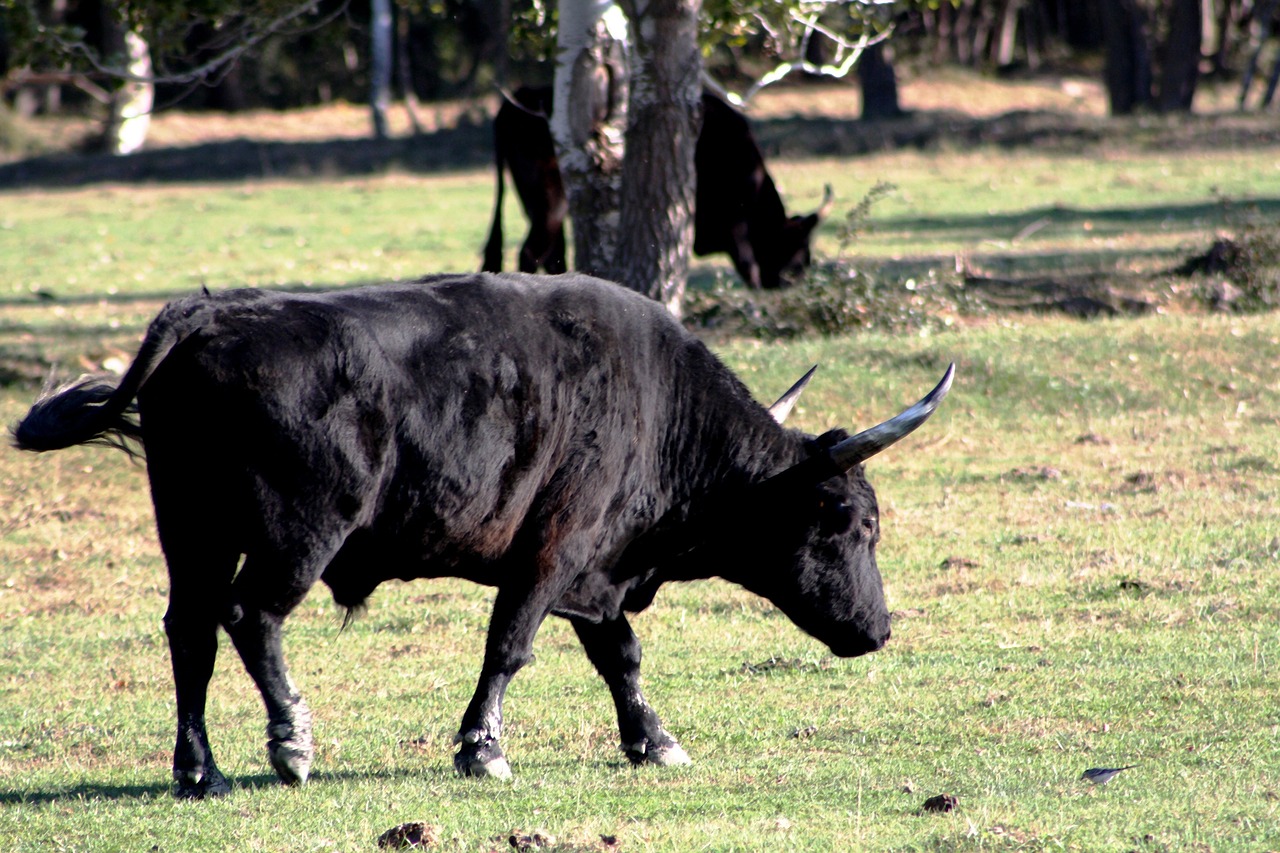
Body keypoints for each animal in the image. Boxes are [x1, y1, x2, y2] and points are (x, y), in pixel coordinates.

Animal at [10, 274, 952, 799]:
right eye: (852, 520)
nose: (879, 630)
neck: (659, 407)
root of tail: (209, 317)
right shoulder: (555, 547)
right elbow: (510, 645)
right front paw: (482, 748)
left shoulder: (595, 572)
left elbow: (621, 656)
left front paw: (654, 739)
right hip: (298, 532)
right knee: (251, 617)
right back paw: (292, 742)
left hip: (190, 529)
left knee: (191, 632)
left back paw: (196, 768)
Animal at [483, 86, 834, 286]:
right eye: (799, 253)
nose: (797, 283)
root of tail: (516, 101)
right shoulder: (734, 223)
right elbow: (751, 268)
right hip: (549, 200)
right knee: (531, 253)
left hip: (539, 205)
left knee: (552, 254)